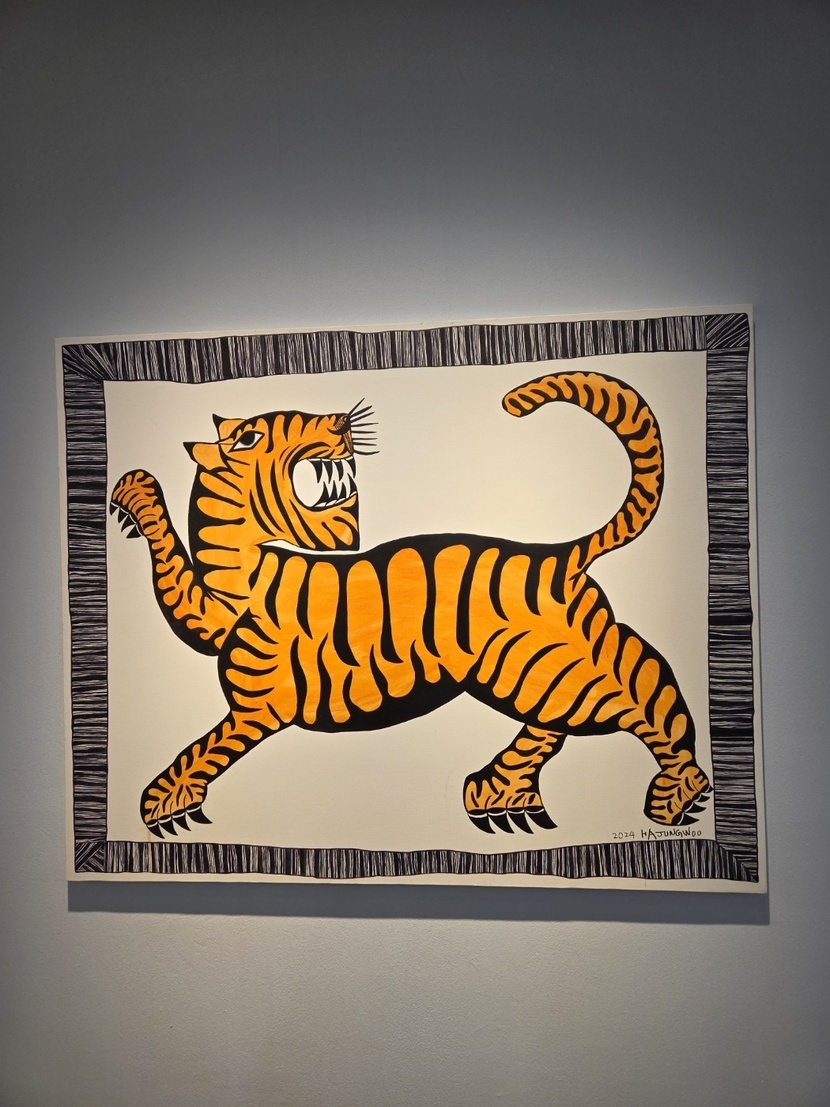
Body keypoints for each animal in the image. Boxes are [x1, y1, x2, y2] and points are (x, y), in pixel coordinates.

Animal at [110, 371, 711, 839]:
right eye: (250, 435)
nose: (340, 418)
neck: (246, 572)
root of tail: (560, 553)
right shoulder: (208, 616)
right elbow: (173, 572)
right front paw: (133, 491)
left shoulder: (257, 708)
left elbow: (203, 749)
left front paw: (163, 804)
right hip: (531, 677)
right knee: (561, 721)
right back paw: (498, 794)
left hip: (561, 671)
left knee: (649, 694)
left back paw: (678, 793)